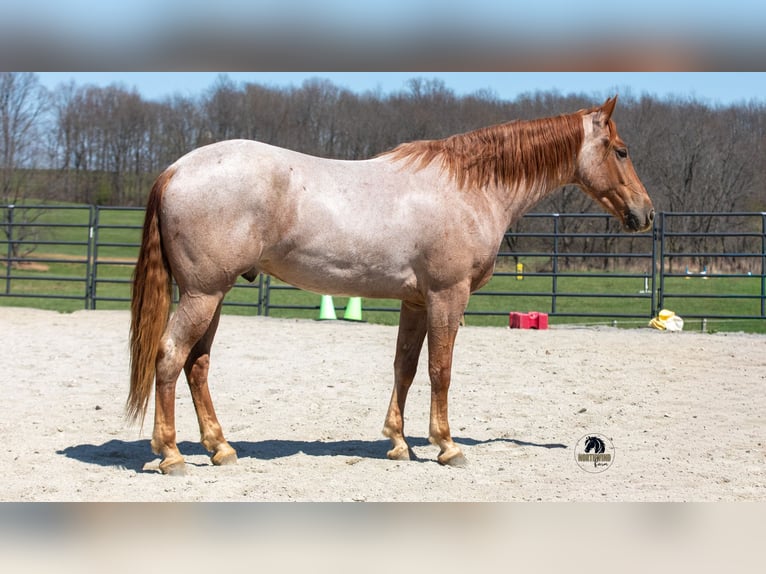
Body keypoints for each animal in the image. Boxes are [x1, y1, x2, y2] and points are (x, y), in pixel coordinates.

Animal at [129, 96, 654, 475]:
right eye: (622, 151)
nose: (646, 213)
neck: (468, 188)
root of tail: (175, 170)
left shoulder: (416, 302)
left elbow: (406, 366)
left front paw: (399, 443)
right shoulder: (447, 295)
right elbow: (441, 370)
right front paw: (446, 445)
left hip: (213, 296)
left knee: (197, 365)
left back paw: (220, 448)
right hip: (203, 295)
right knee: (170, 357)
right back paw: (171, 455)